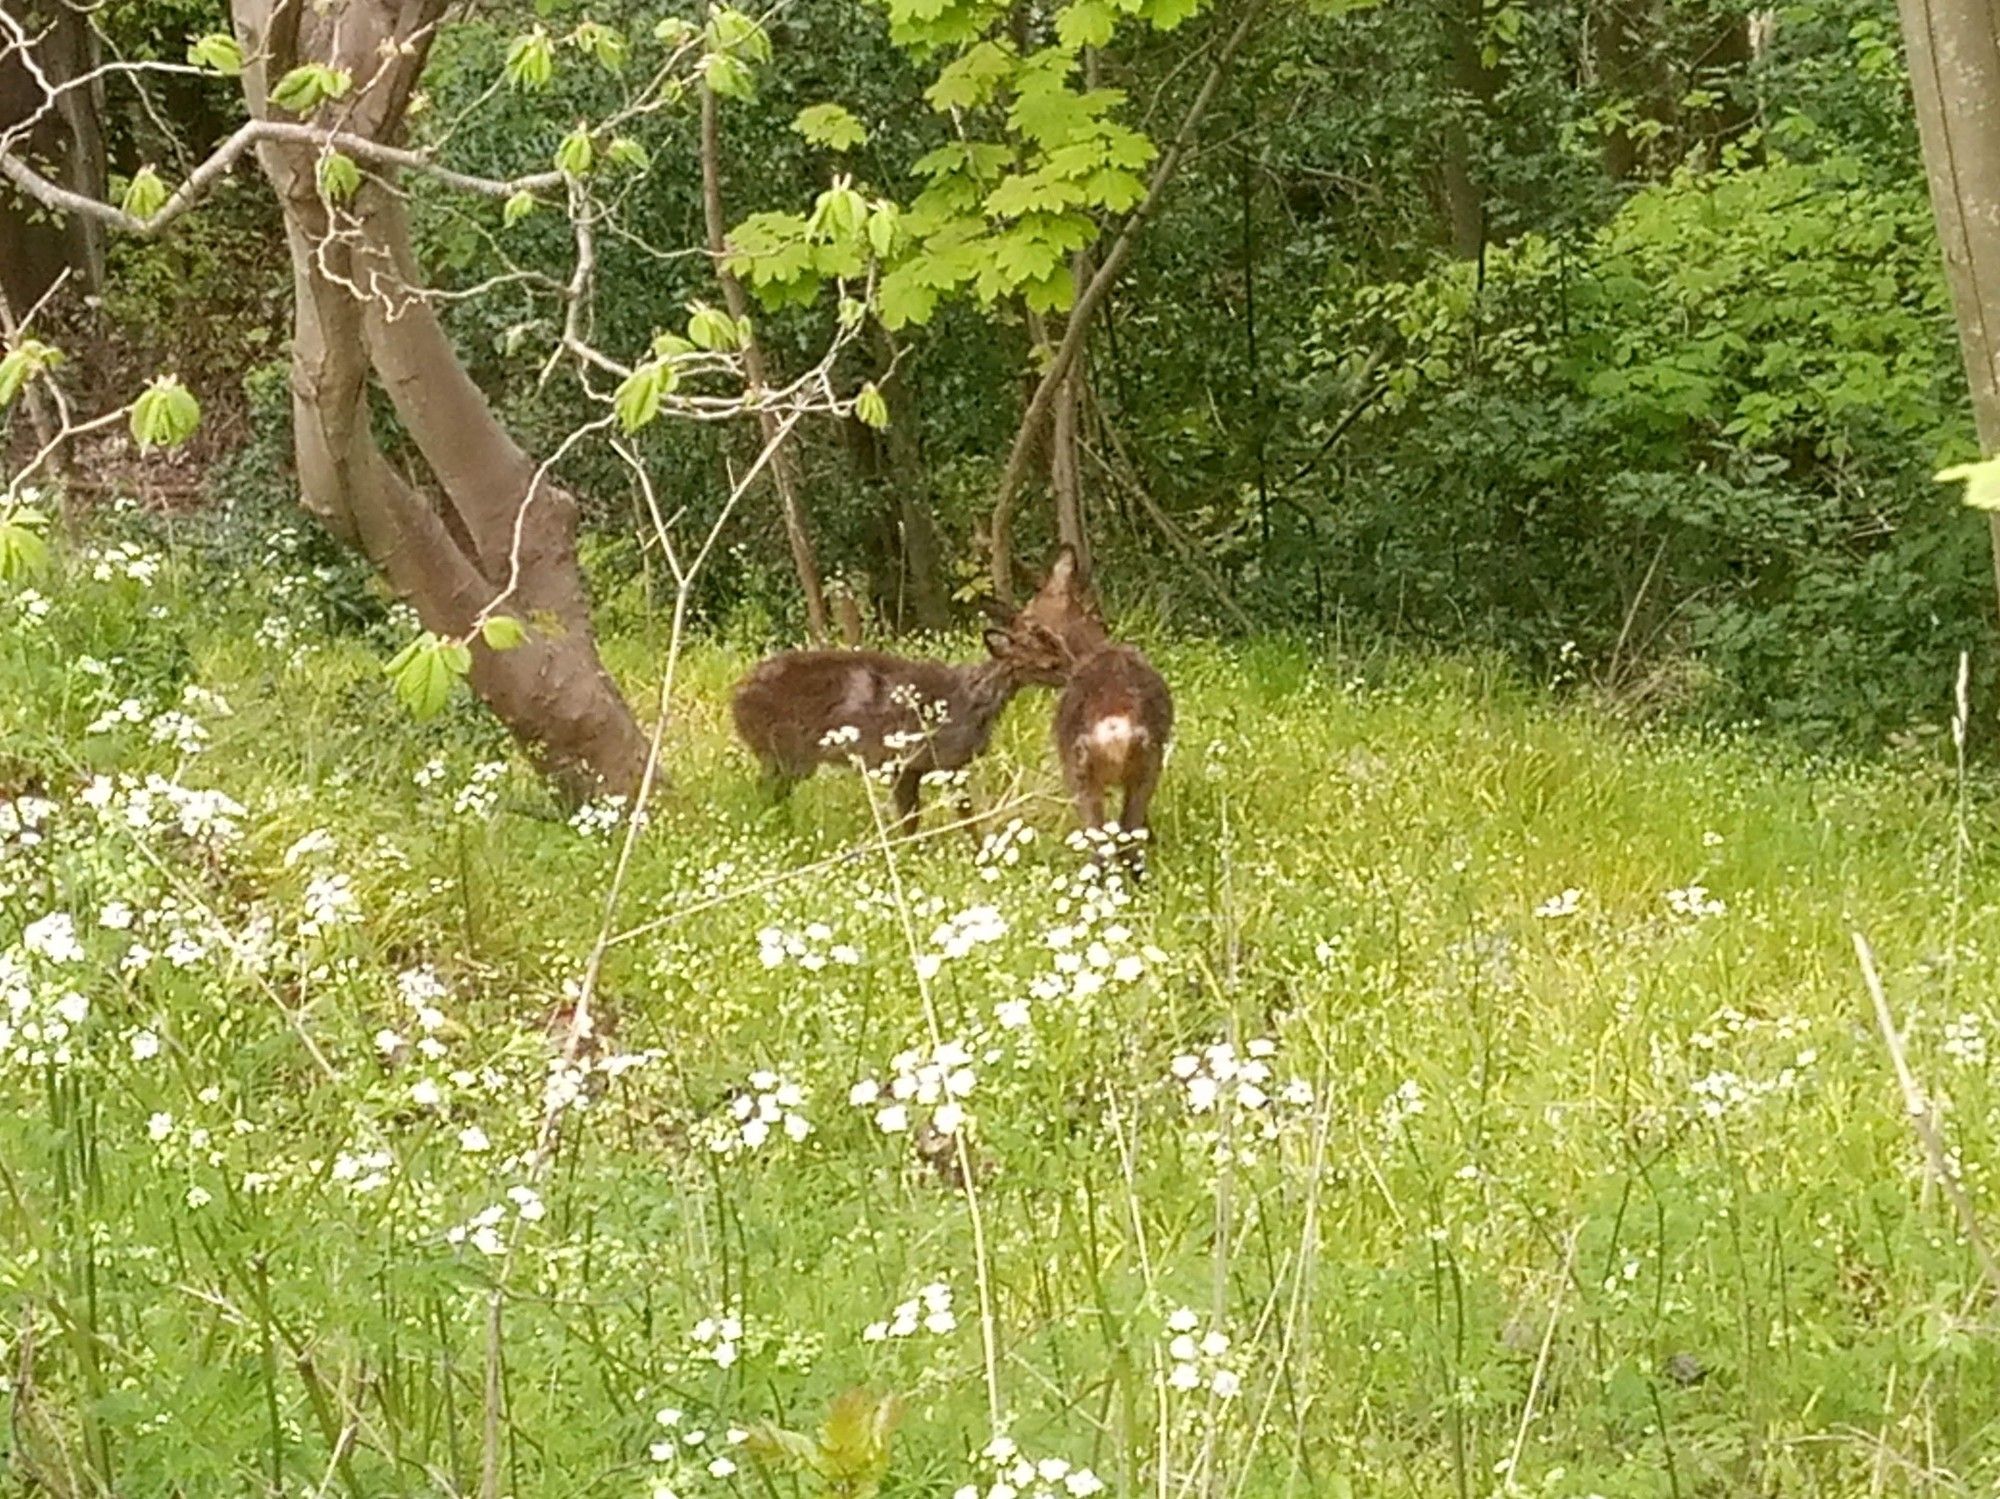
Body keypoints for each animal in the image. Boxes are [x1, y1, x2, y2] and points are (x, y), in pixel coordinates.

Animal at [728, 623, 1072, 835]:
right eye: (1050, 664)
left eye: (1063, 648)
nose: (1077, 672)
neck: (966, 702)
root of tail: (735, 697)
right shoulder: (907, 761)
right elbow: (916, 818)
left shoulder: (946, 765)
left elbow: (959, 815)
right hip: (785, 751)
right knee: (766, 790)